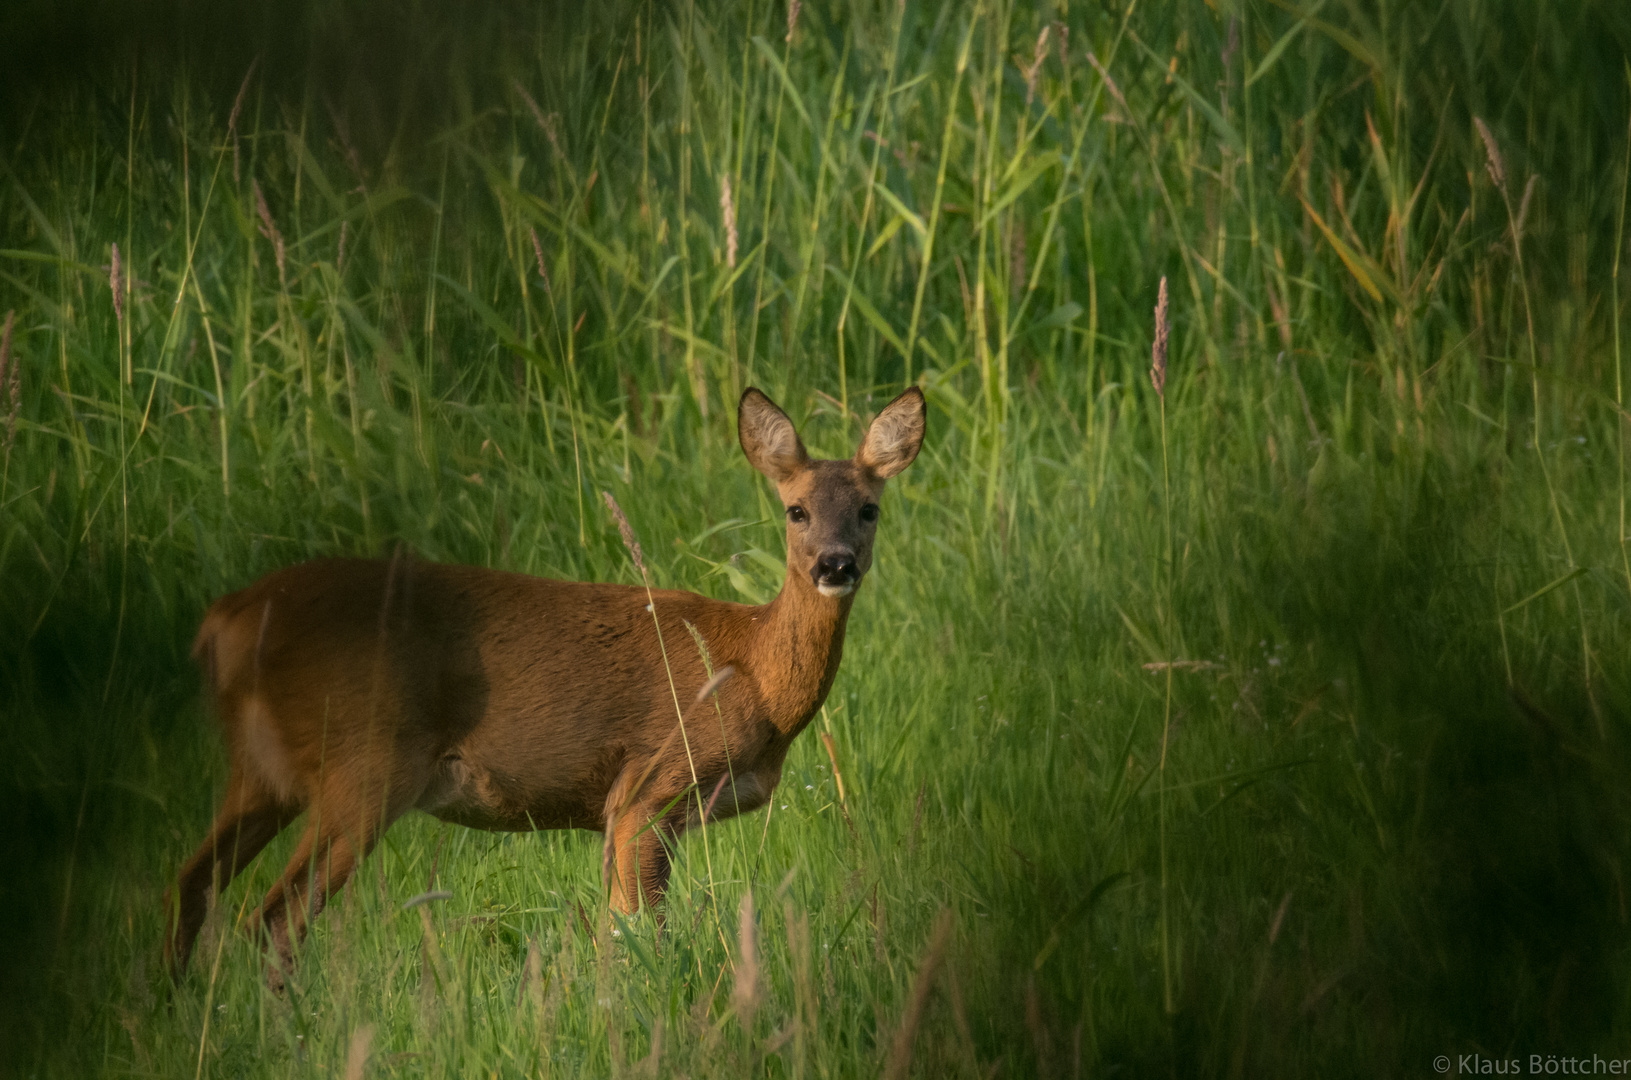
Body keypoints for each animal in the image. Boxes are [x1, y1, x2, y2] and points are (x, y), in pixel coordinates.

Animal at [168, 383, 932, 978]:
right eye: (795, 510)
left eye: (869, 509)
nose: (835, 564)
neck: (752, 671)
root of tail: (225, 618)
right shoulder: (650, 786)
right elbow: (637, 935)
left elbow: (621, 931)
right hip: (365, 766)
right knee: (271, 921)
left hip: (264, 772)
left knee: (193, 883)